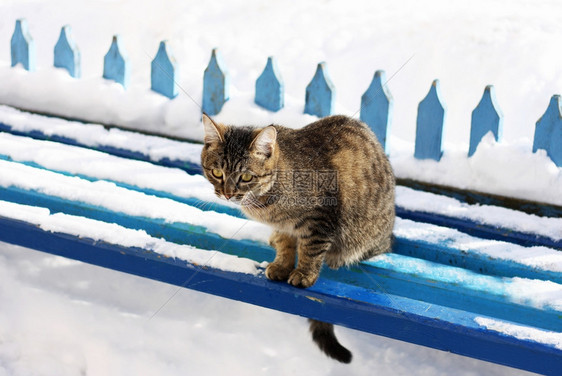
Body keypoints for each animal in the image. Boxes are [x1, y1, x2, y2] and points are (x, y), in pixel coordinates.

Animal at [200, 113, 394, 362]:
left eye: (246, 177)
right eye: (217, 173)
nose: (227, 194)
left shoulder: (321, 219)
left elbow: (311, 249)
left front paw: (304, 273)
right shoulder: (284, 225)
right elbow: (286, 244)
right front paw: (282, 265)